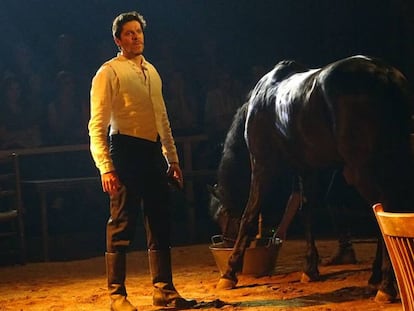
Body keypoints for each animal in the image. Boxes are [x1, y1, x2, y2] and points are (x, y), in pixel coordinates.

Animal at [217, 54, 414, 304]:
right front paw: (310, 268)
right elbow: (306, 211)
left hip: (364, 170)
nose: (224, 243)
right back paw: (377, 279)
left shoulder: (261, 164)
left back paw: (386, 286)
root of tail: (385, 74)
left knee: (385, 213)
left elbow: (249, 215)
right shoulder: (305, 169)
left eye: (223, 218)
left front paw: (229, 272)